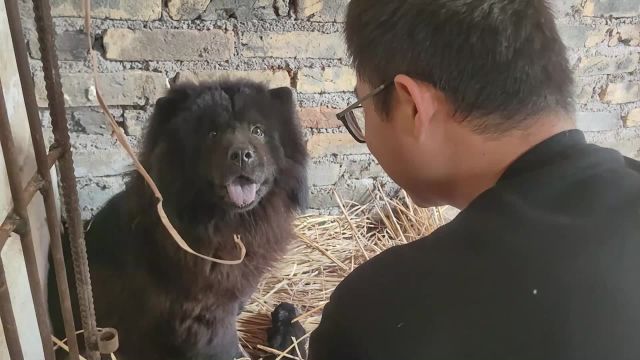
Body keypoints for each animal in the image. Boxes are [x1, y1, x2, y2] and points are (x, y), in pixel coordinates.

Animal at [48, 80, 308, 358]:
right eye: (211, 134)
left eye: (257, 131)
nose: (241, 154)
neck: (224, 225)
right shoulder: (204, 311)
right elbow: (224, 343)